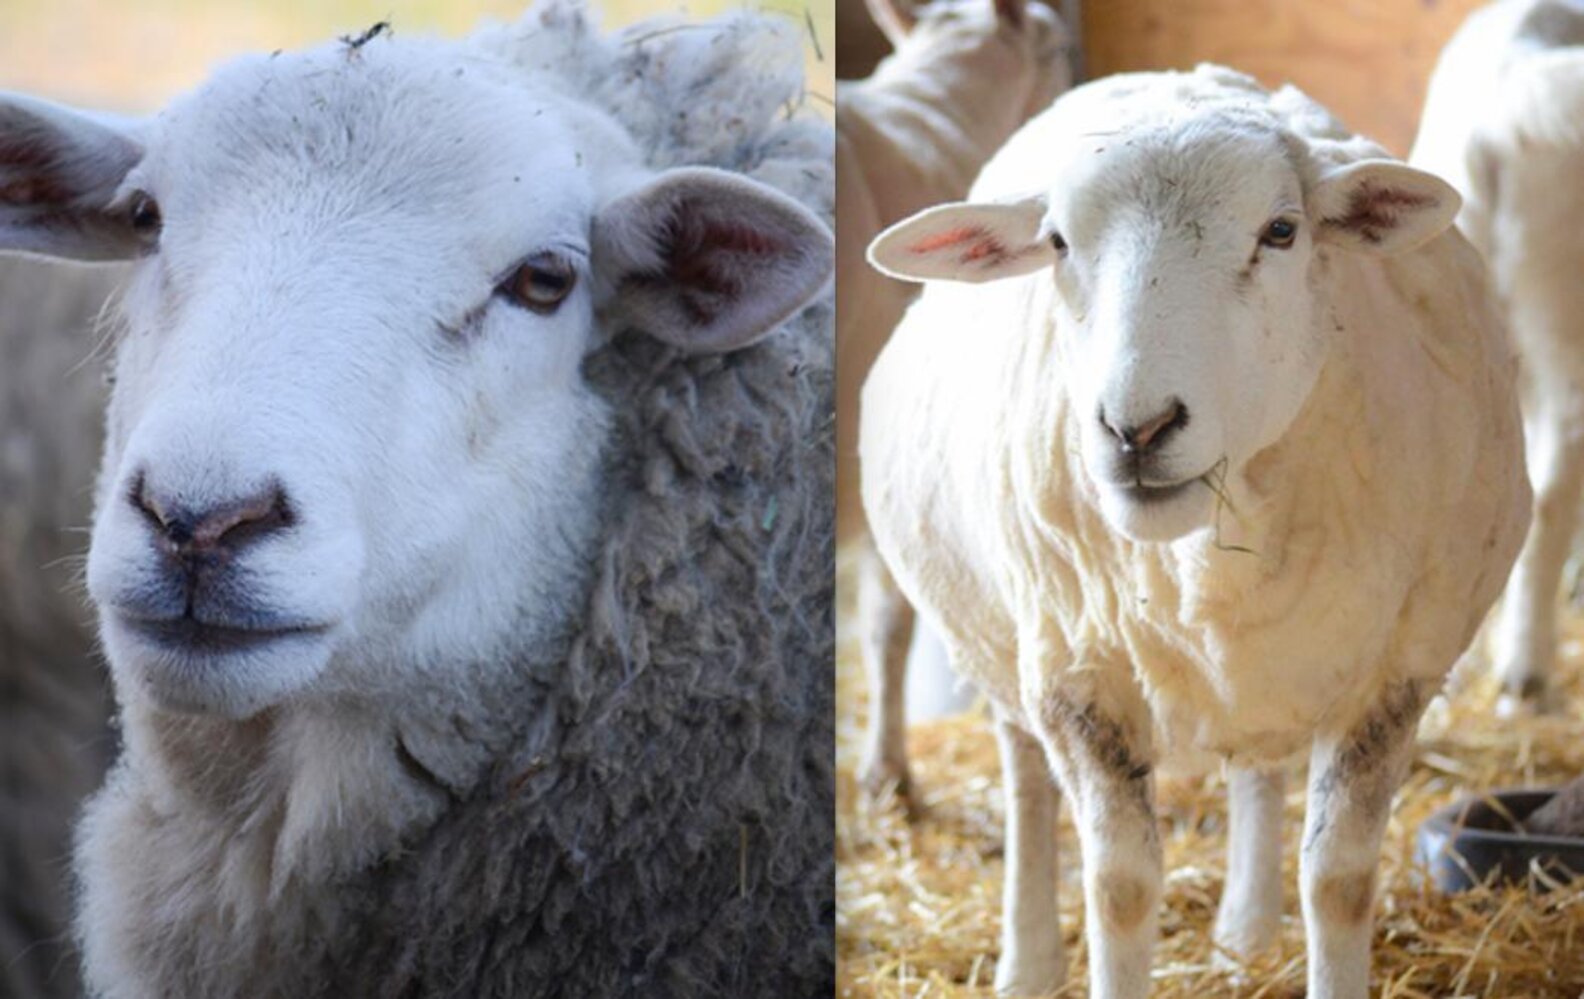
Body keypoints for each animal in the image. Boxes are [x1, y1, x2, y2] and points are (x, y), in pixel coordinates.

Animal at [862, 65, 1529, 999]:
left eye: (1281, 231)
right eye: (1057, 242)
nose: (1135, 429)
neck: (1204, 541)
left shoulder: (1397, 672)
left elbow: (1339, 879)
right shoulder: (1076, 680)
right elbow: (1119, 887)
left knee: (1256, 768)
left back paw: (1245, 933)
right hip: (1003, 642)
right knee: (1027, 787)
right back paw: (1029, 962)